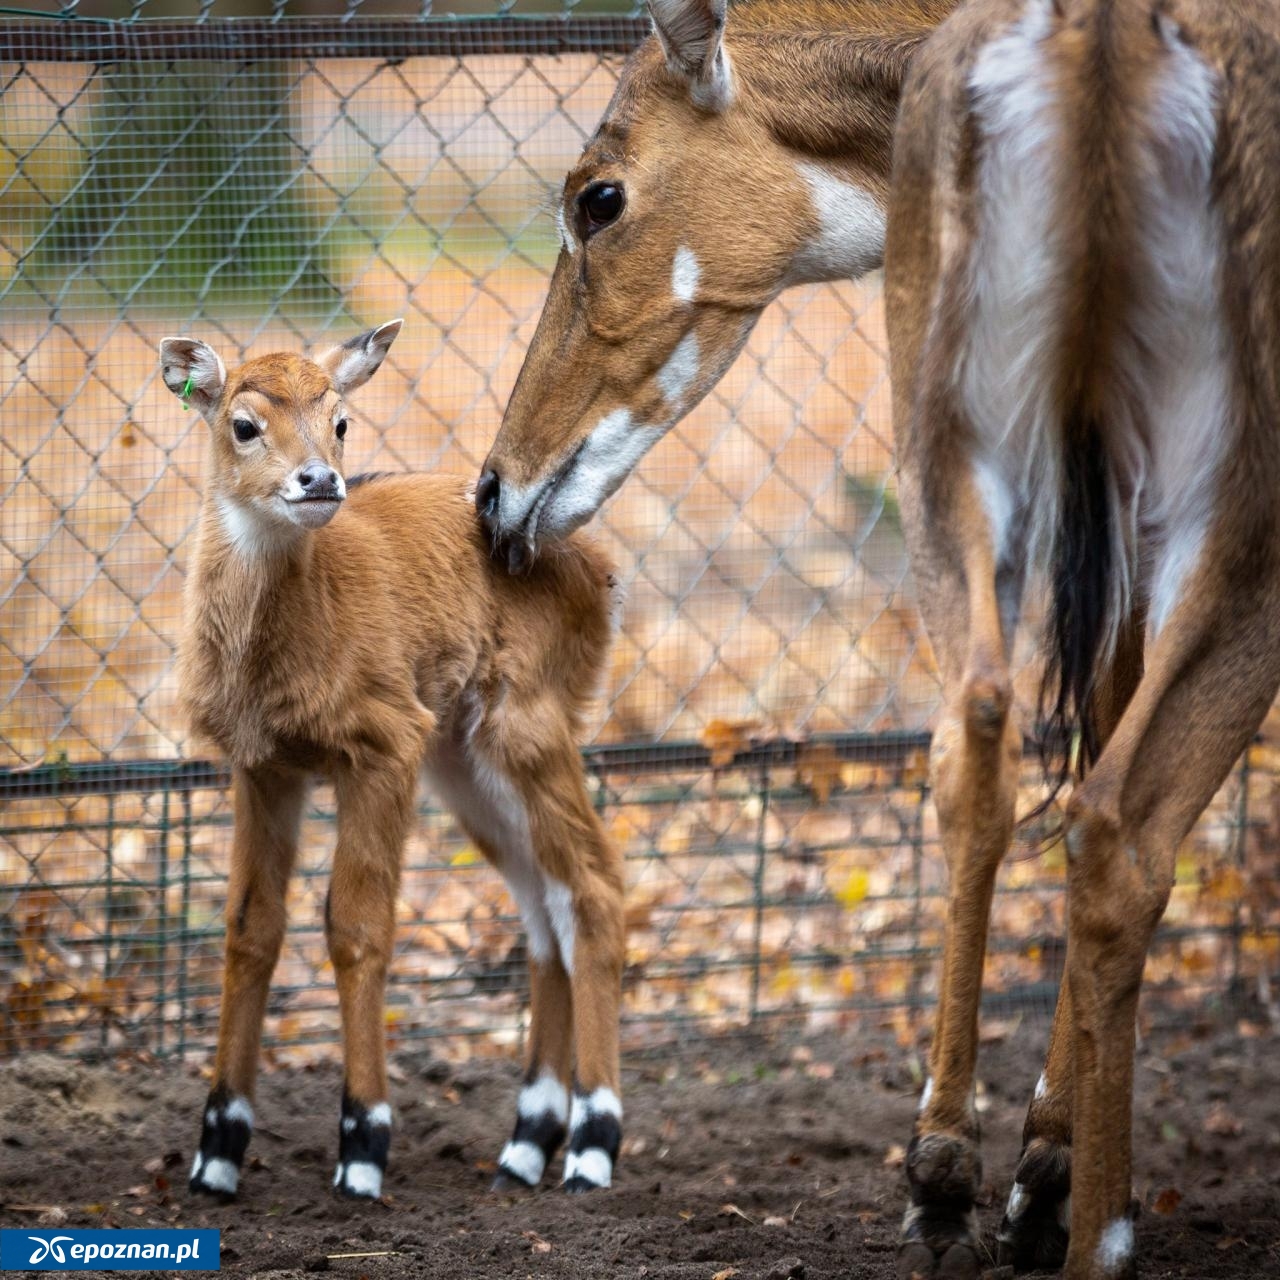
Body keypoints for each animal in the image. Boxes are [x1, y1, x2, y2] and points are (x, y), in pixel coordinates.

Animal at [161, 325, 629, 1203]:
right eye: (243, 423)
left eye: (340, 420)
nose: (319, 479)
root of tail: (600, 568)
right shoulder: (265, 766)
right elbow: (251, 929)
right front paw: (217, 1154)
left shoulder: (380, 746)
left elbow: (356, 928)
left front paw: (363, 1147)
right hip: (462, 760)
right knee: (542, 904)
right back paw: (526, 1144)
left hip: (524, 724)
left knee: (594, 885)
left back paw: (592, 1146)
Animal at [885, 5, 1280, 1274]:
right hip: (1236, 498)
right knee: (1121, 822)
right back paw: (1092, 1225)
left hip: (952, 438)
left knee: (980, 727)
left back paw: (947, 1169)